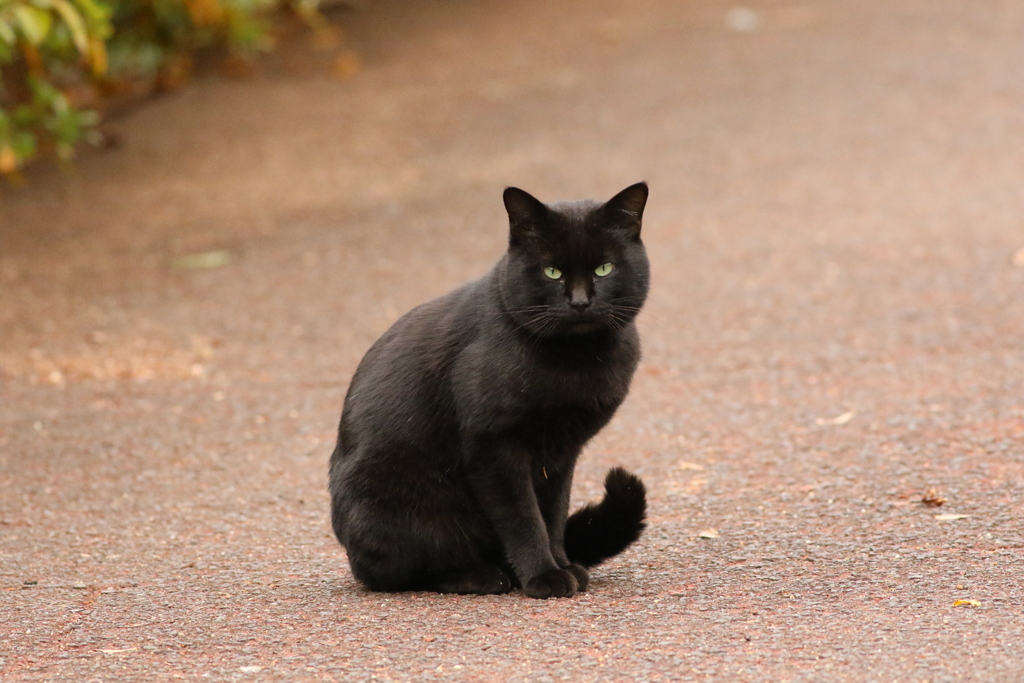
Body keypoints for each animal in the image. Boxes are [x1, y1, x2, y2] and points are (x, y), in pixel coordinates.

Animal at [327, 181, 647, 598]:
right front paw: (544, 575)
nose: (579, 301)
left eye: (604, 268)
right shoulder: (493, 446)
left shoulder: (561, 453)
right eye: (552, 272)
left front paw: (562, 564)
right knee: (402, 573)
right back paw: (481, 575)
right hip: (399, 514)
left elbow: (553, 515)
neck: (577, 361)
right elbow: (524, 519)